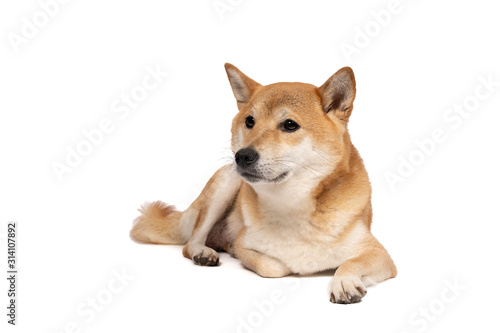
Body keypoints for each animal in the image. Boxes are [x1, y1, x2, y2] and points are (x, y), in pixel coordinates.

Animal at [131, 63, 396, 304]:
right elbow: (275, 266)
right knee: (190, 243)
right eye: (250, 121)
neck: (292, 207)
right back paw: (203, 252)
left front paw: (343, 281)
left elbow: (350, 264)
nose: (242, 156)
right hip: (225, 183)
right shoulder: (246, 243)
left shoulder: (380, 254)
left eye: (289, 125)